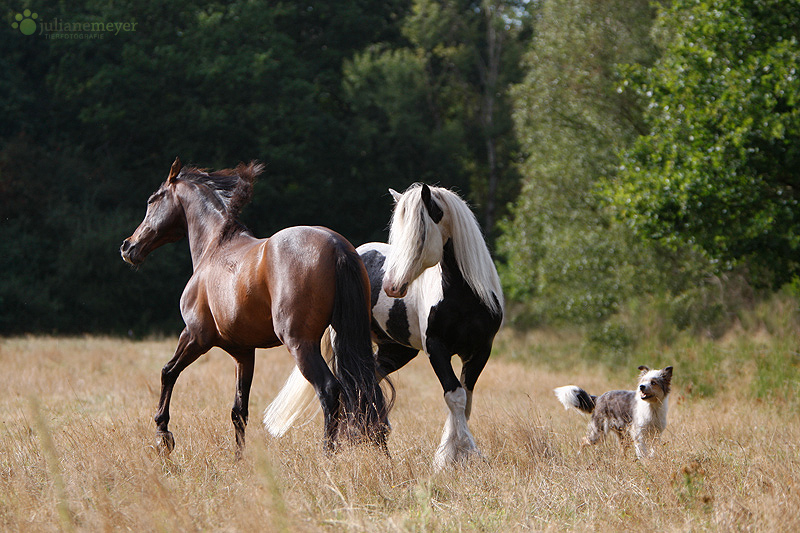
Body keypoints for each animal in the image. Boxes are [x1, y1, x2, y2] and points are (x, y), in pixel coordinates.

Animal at [119, 158, 390, 458]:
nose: (128, 247)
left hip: (300, 343)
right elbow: (239, 410)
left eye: (152, 200)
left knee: (330, 390)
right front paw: (239, 459)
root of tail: (336, 246)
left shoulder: (195, 336)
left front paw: (163, 435)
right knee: (368, 392)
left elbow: (168, 372)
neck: (215, 247)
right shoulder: (243, 353)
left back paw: (327, 455)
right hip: (348, 337)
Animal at [262, 185, 504, 468]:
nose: (391, 286)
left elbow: (465, 402)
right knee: (351, 387)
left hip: (396, 351)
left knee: (367, 385)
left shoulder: (480, 352)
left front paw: (457, 455)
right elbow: (455, 396)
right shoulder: (437, 349)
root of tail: (352, 251)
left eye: (420, 234)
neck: (463, 296)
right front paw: (452, 457)